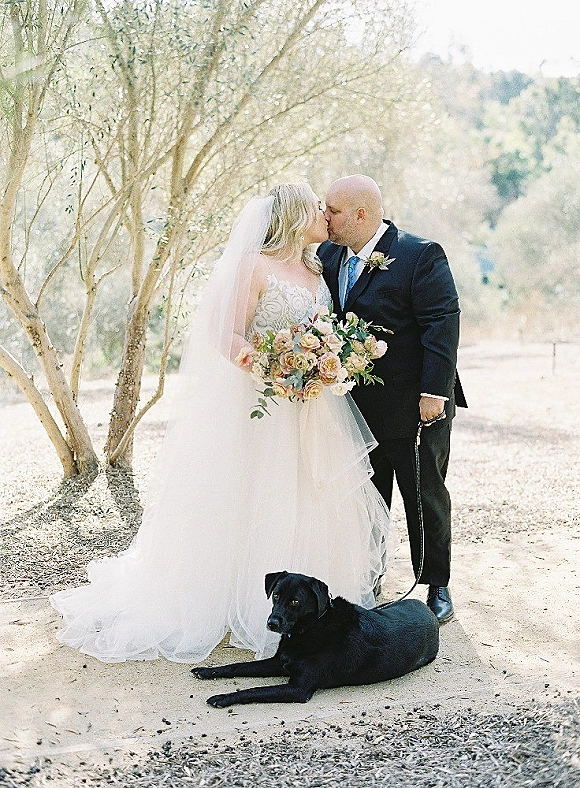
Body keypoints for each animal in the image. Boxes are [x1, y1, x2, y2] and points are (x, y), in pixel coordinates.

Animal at [191, 570, 439, 707]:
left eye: (296, 601)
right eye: (276, 595)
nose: (272, 623)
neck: (312, 628)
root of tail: (429, 611)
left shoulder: (298, 688)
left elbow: (252, 691)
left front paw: (222, 697)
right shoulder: (278, 662)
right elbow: (237, 666)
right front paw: (207, 671)